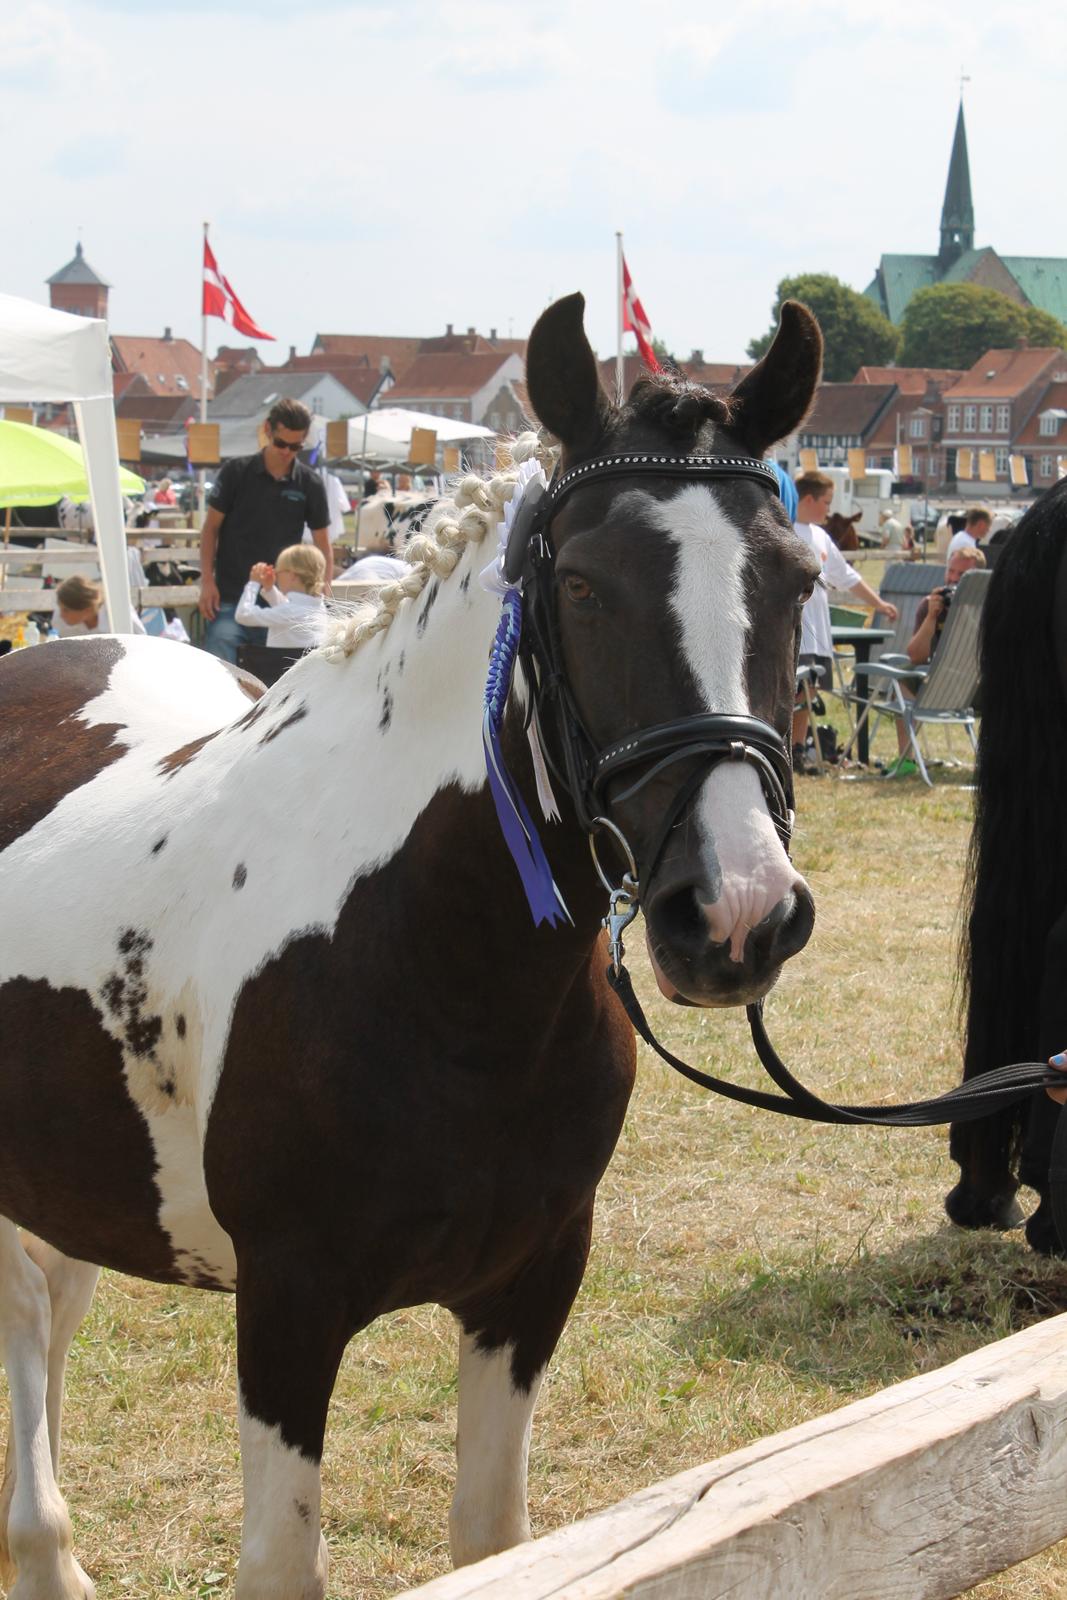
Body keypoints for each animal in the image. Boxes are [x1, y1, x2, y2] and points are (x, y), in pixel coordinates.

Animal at [0, 291, 825, 1600]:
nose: (735, 909)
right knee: (28, 1315)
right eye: (582, 585)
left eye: (793, 577)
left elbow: (494, 1539)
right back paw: (42, 1552)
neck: (428, 967)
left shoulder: (528, 1285)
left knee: (55, 1299)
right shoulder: (287, 1311)